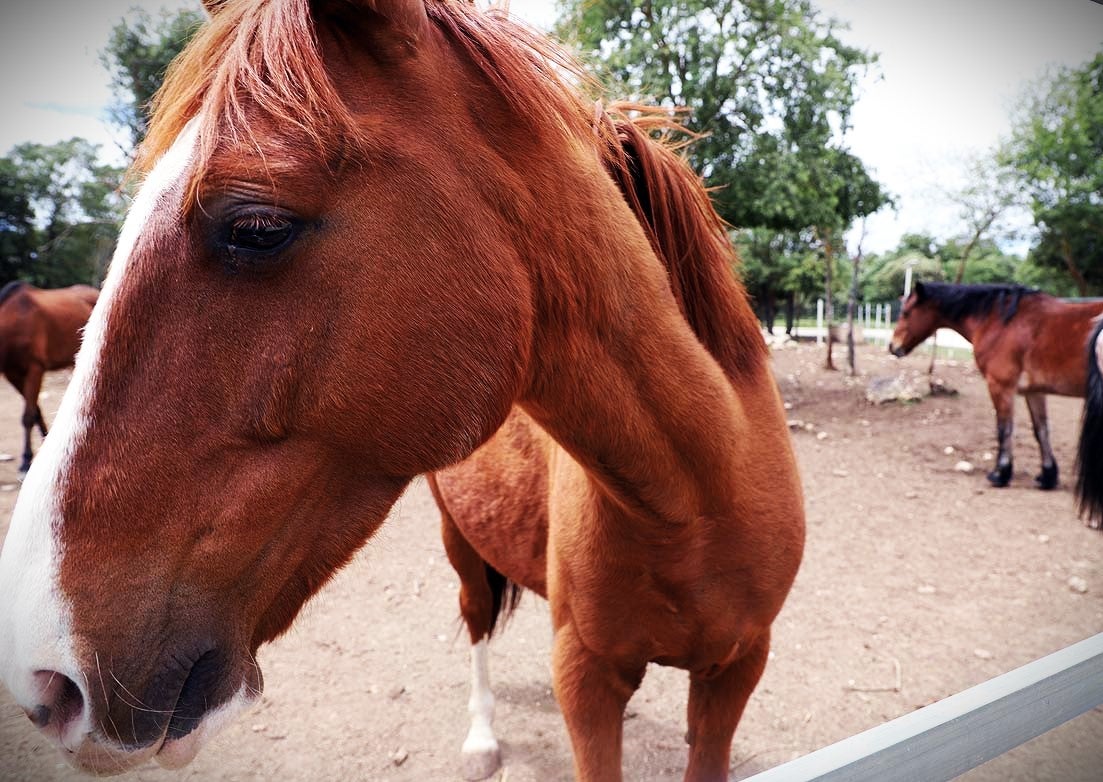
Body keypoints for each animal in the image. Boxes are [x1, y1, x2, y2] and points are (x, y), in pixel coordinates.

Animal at [886, 280, 1103, 487]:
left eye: (906, 313)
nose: (893, 347)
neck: (1000, 321)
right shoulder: (1034, 391)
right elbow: (1041, 430)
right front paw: (1047, 476)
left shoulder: (1000, 386)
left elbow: (1004, 429)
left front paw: (1001, 474)